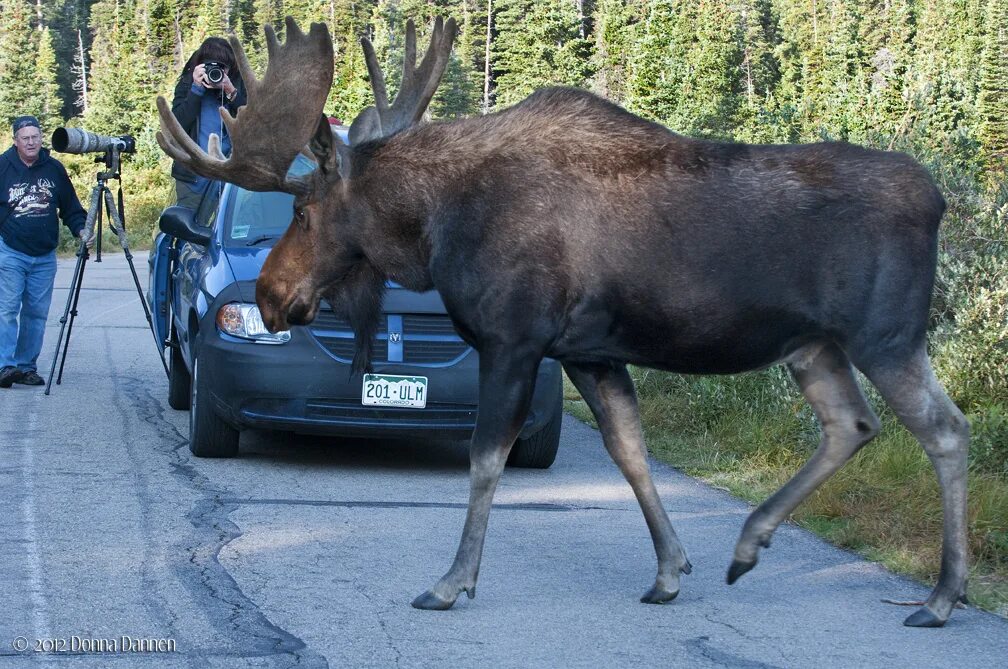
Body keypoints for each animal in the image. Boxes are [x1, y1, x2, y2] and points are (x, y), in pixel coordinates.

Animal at [157, 17, 967, 628]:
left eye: (303, 210)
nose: (270, 294)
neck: (433, 228)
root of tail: (936, 198)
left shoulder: (513, 339)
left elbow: (485, 461)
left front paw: (451, 581)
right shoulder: (589, 352)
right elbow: (630, 451)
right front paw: (671, 569)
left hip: (886, 336)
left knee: (945, 430)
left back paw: (939, 597)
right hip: (814, 346)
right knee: (851, 425)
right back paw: (749, 542)